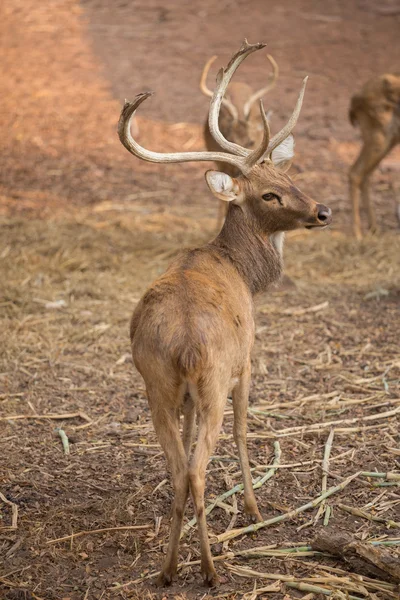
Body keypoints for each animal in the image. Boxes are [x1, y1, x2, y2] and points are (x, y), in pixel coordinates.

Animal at [346, 75, 400, 241]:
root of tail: (356, 96)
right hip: (380, 140)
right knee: (355, 172)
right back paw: (358, 234)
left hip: (387, 142)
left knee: (365, 175)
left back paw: (374, 229)